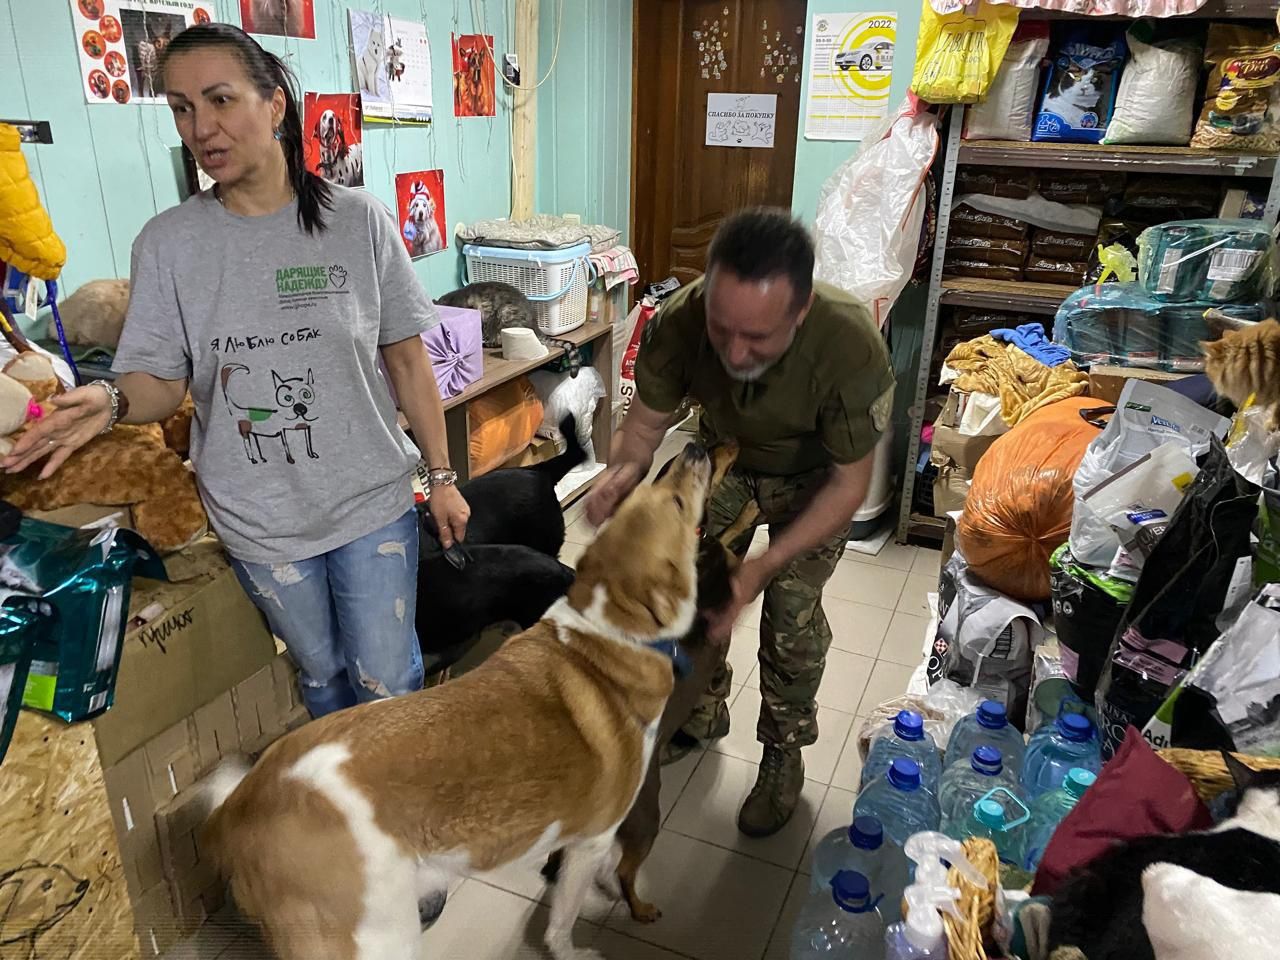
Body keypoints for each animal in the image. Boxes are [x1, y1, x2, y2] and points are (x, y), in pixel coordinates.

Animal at [204, 445, 716, 960]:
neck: (605, 633)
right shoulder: (590, 839)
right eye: (673, 502)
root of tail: (241, 807)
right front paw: (576, 945)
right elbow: (563, 920)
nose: (694, 449)